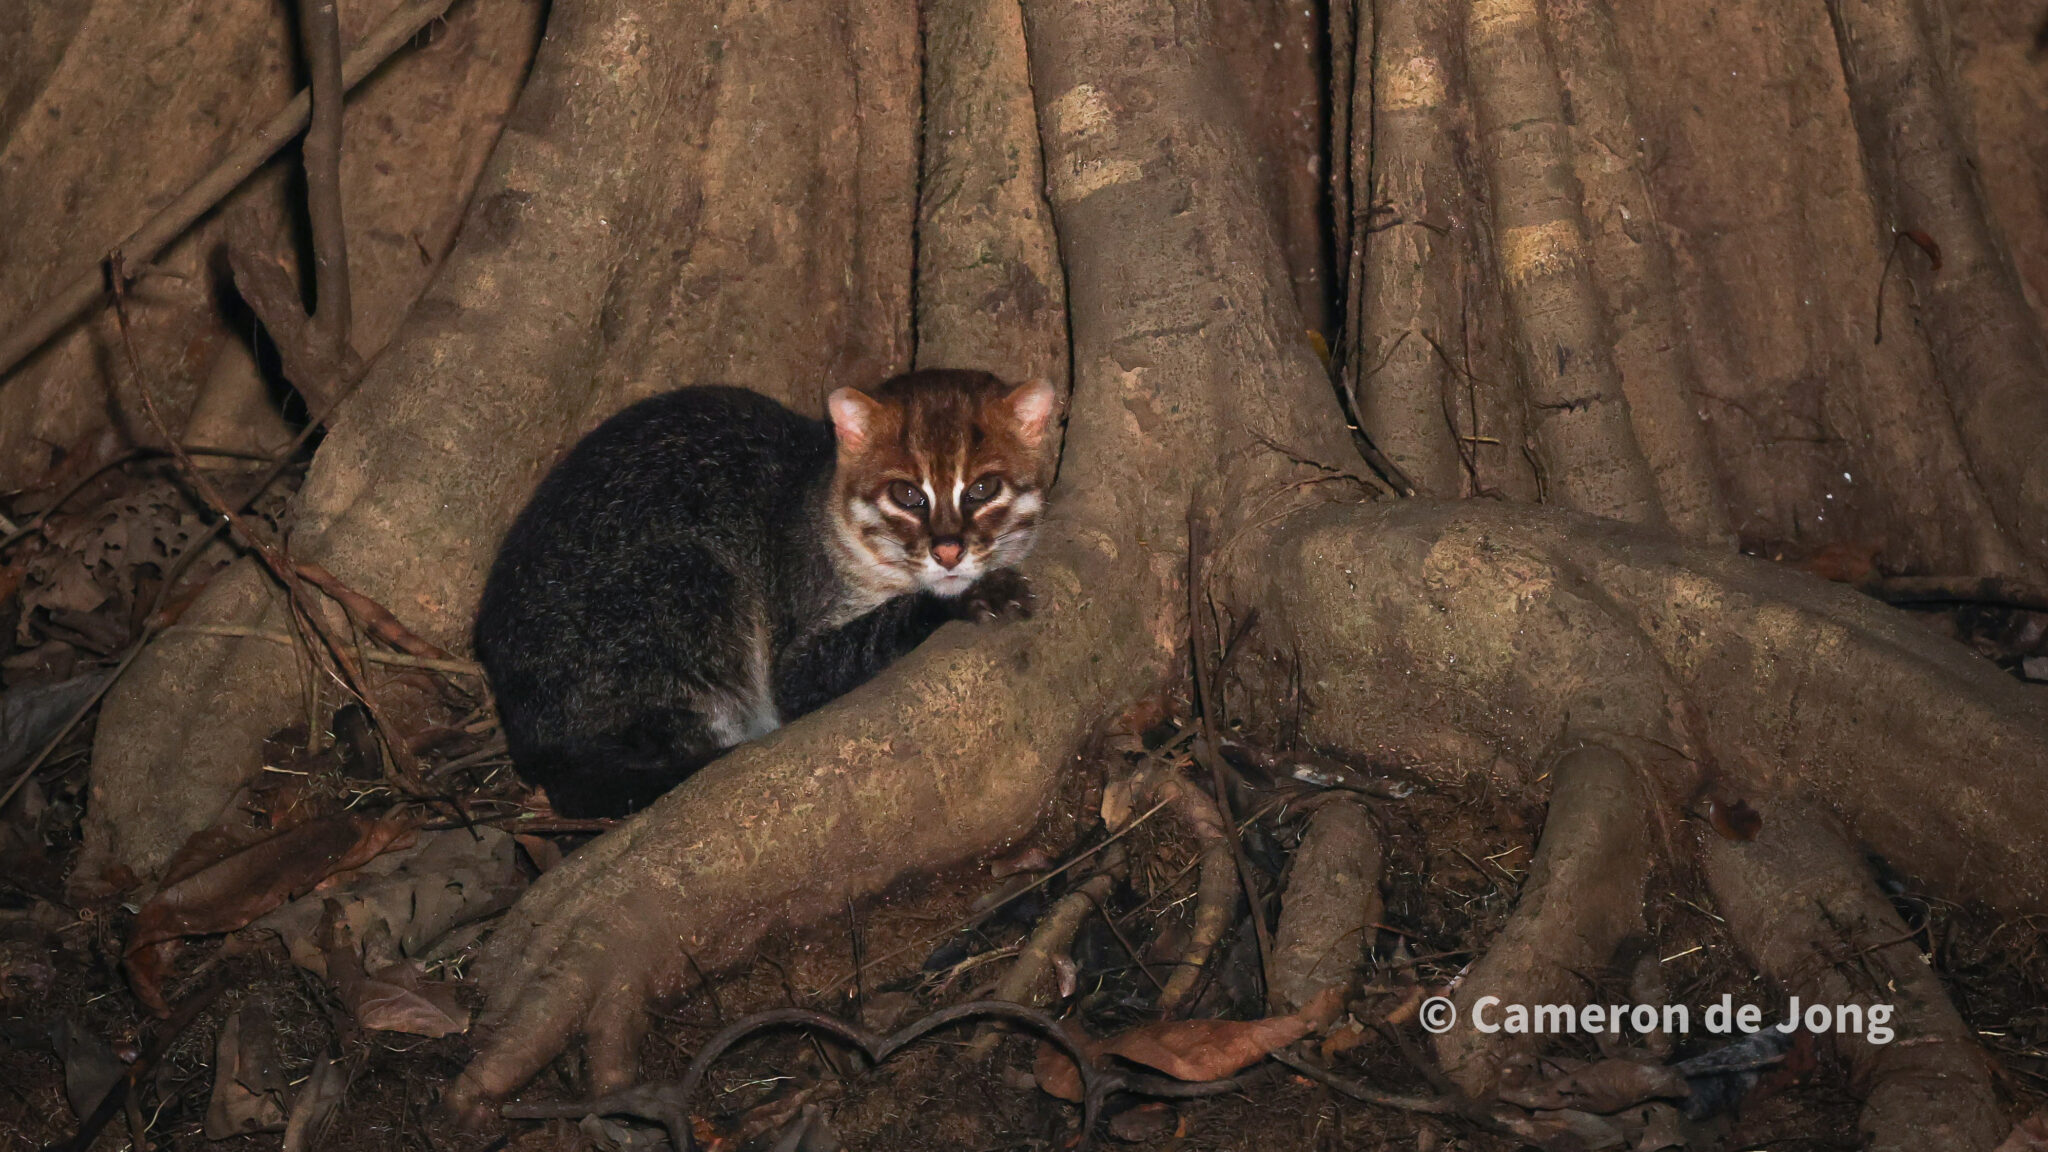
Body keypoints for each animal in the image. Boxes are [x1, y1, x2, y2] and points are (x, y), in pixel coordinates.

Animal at [471, 366, 1056, 815]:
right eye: (907, 494)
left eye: (982, 488)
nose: (949, 551)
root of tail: (525, 734)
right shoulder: (800, 621)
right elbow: (814, 669)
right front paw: (964, 598)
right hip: (680, 588)